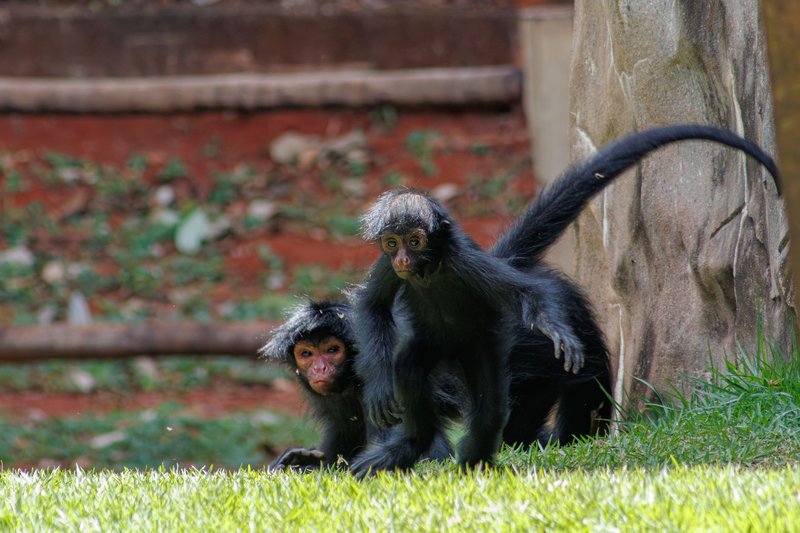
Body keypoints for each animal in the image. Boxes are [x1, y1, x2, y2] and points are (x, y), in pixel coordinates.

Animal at [348, 124, 780, 475]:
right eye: (392, 243)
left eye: (415, 241)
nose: (403, 259)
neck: (431, 272)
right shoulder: (391, 271)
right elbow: (371, 305)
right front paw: (380, 390)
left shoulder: (466, 263)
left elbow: (530, 297)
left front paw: (558, 333)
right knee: (410, 364)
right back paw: (413, 444)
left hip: (485, 349)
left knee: (494, 402)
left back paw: (474, 459)